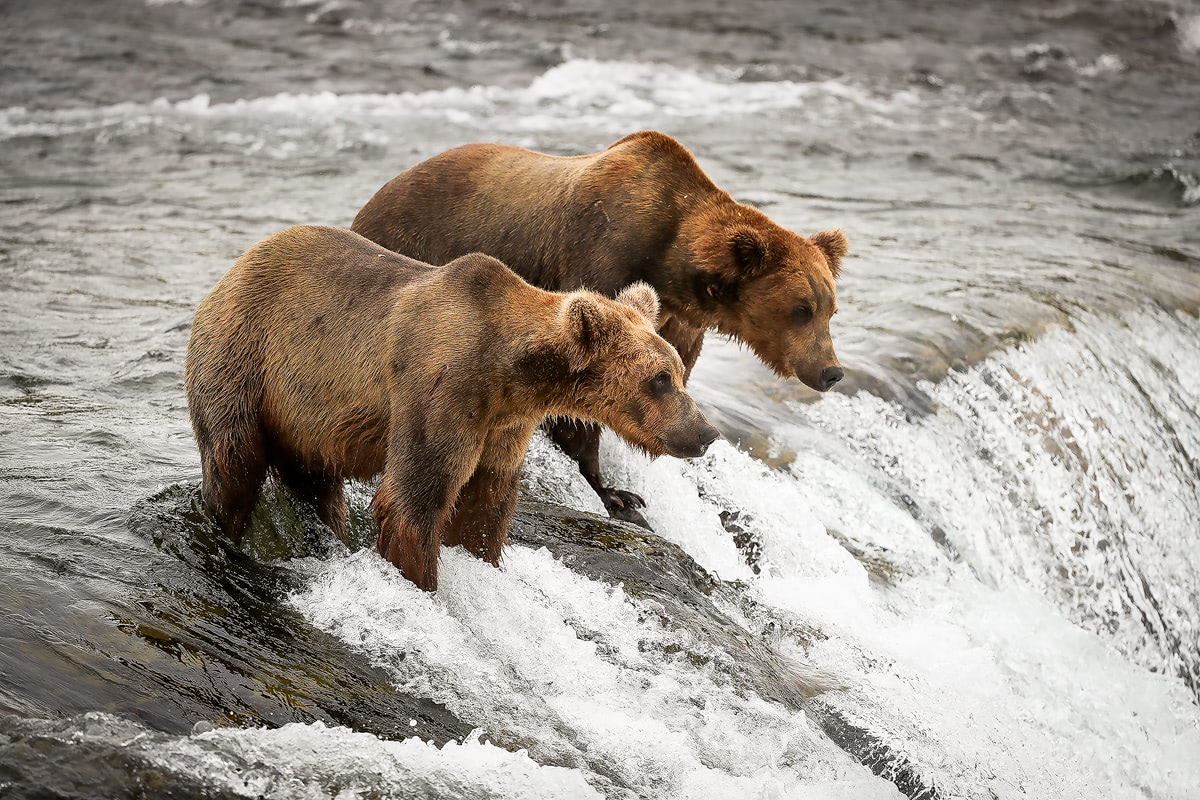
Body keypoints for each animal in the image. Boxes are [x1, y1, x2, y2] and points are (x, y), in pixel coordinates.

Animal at [182, 225, 715, 594]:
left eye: (677, 371)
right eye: (659, 379)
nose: (706, 433)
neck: (510, 370)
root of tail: (230, 271)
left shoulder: (503, 421)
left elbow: (486, 499)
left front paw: (481, 553)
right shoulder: (441, 387)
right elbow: (414, 497)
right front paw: (421, 584)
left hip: (306, 418)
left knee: (316, 484)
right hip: (243, 359)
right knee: (234, 462)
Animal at [350, 130, 849, 525]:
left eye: (830, 309)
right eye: (801, 309)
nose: (831, 372)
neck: (670, 264)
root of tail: (368, 203)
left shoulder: (677, 322)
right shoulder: (597, 261)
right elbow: (584, 400)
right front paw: (614, 493)